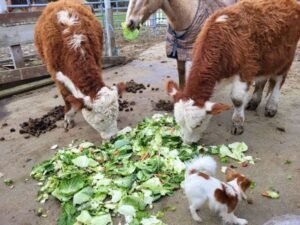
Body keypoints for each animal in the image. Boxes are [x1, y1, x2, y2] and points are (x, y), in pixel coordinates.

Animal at [34, 0, 123, 139]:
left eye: (116, 114)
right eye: (100, 120)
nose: (113, 137)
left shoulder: (97, 61)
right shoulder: (56, 74)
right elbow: (67, 97)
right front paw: (68, 118)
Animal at [166, 0, 300, 144]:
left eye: (198, 124)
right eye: (178, 122)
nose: (187, 143)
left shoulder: (246, 69)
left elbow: (237, 99)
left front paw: (237, 123)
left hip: (286, 56)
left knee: (278, 80)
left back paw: (271, 106)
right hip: (266, 58)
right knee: (262, 79)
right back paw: (254, 101)